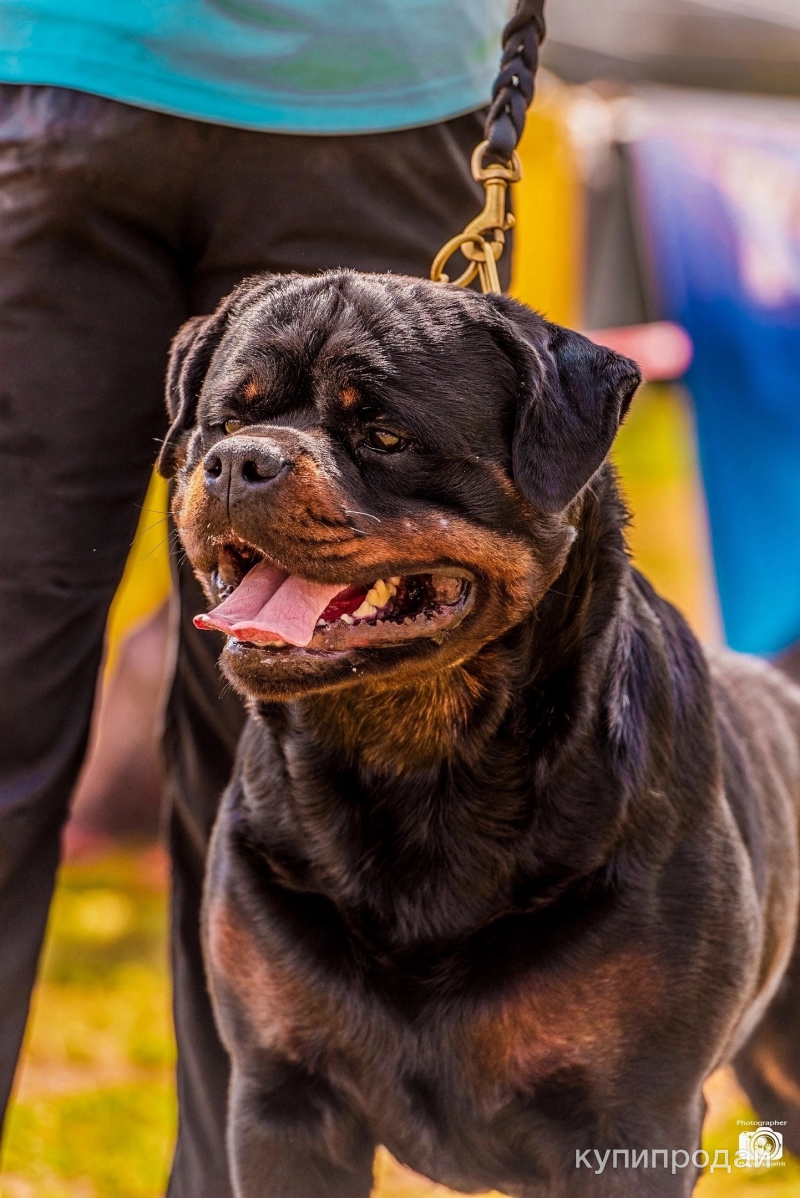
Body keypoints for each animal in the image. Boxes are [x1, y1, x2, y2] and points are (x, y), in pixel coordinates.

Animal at [159, 271, 800, 1198]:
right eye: (223, 420)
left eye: (385, 436)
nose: (244, 460)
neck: (418, 769)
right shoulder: (283, 1099)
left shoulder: (630, 1123)